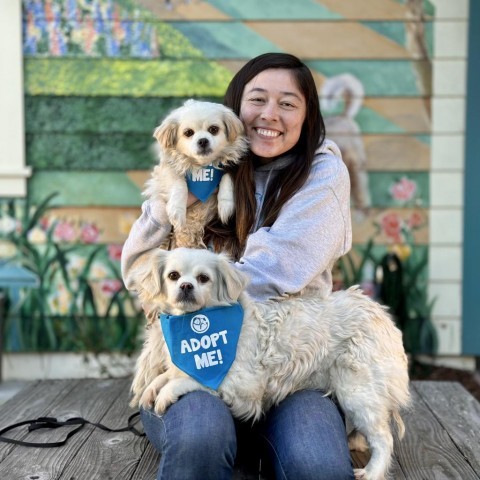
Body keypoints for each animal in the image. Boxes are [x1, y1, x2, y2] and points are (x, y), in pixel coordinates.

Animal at [129, 248, 410, 480]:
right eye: (173, 275)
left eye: (203, 278)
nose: (186, 286)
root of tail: (384, 316)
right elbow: (171, 374)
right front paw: (154, 385)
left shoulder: (244, 387)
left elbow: (192, 379)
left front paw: (167, 391)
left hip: (356, 390)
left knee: (384, 438)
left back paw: (372, 472)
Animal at [143, 98, 248, 248]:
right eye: (188, 133)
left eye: (213, 129)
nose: (203, 140)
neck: (202, 167)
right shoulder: (166, 171)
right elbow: (179, 184)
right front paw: (177, 211)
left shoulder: (231, 166)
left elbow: (227, 177)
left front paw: (226, 205)